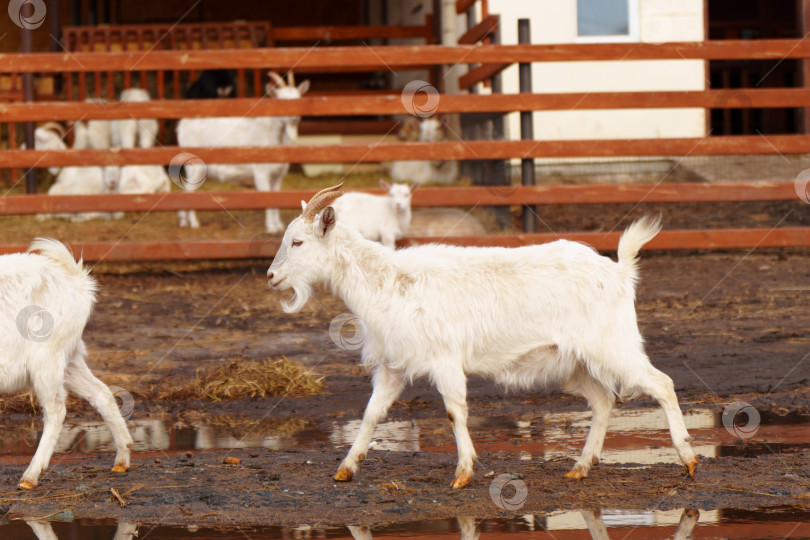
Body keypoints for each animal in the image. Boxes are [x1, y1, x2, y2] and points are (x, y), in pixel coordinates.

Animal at [1, 237, 133, 490]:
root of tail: (75, 280)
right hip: (69, 358)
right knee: (102, 393)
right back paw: (122, 458)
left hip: (46, 359)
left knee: (56, 409)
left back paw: (30, 476)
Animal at [177, 71, 310, 232]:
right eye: (281, 100)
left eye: (298, 97)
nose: (294, 117)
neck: (272, 134)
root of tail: (183, 125)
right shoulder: (261, 172)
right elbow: (267, 199)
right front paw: (271, 227)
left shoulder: (277, 175)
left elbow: (276, 199)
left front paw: (278, 225)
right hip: (195, 167)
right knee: (189, 192)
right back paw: (193, 223)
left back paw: (183, 221)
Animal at [266, 186, 696, 490]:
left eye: (298, 242)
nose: (271, 277)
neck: (389, 281)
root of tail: (619, 271)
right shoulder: (393, 364)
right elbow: (372, 412)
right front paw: (345, 469)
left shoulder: (444, 359)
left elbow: (454, 411)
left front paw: (463, 473)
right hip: (574, 362)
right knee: (604, 400)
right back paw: (580, 467)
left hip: (612, 344)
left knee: (662, 383)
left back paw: (688, 459)